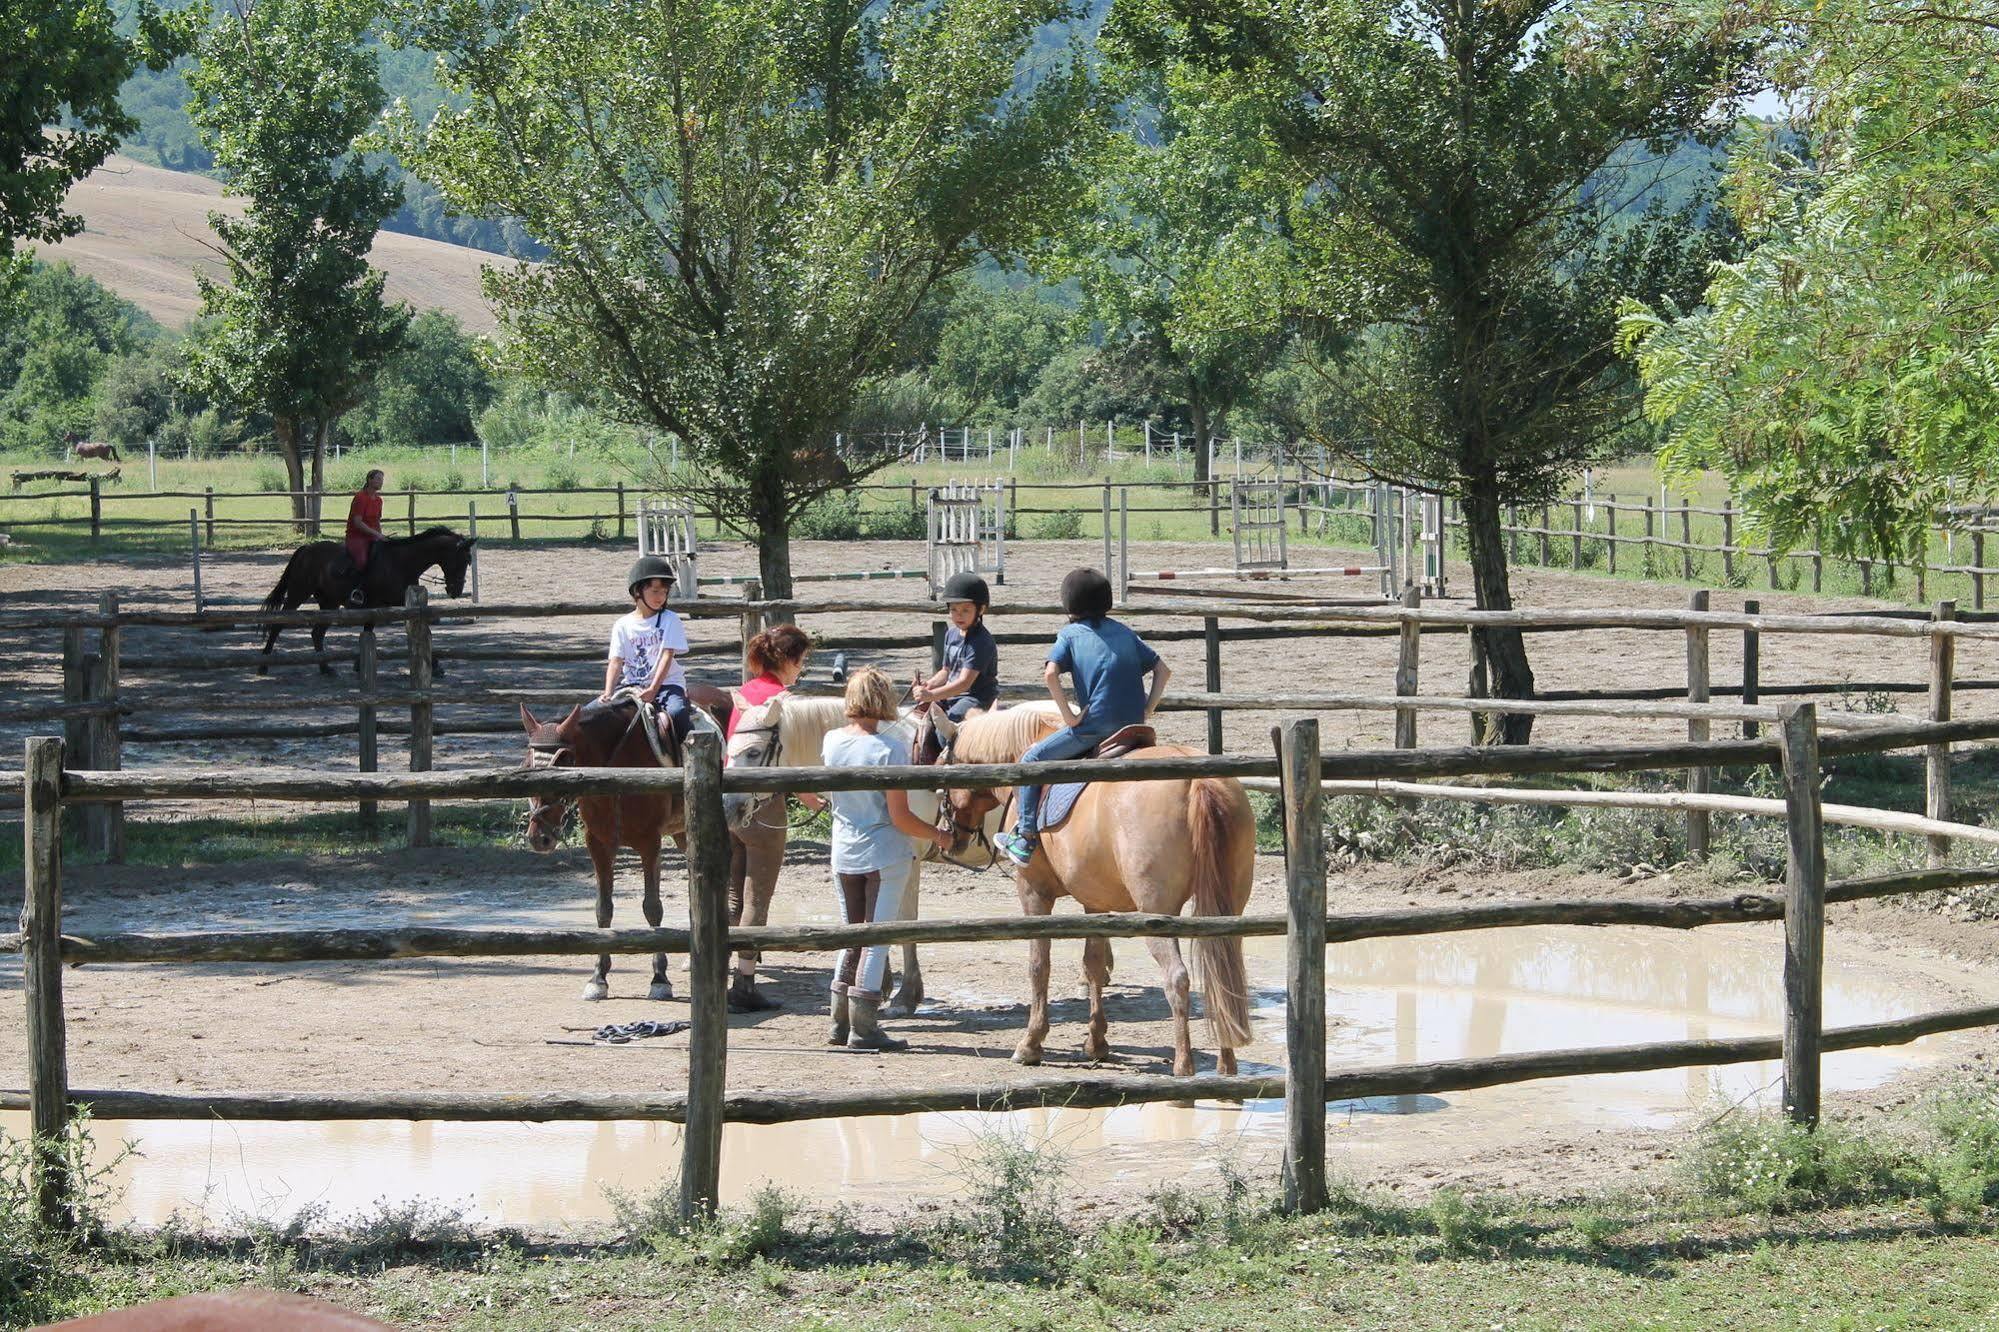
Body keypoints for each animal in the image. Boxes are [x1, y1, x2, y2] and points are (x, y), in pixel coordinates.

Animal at [259, 524, 477, 676]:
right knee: (278, 625)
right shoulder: (390, 603)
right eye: (465, 560)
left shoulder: (390, 604)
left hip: (329, 602)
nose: (456, 591)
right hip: (298, 593)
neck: (402, 563)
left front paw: (359, 664)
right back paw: (264, 665)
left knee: (317, 633)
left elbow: (370, 629)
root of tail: (305, 549)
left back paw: (326, 668)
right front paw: (437, 666)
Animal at [519, 696, 731, 996]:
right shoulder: (599, 844)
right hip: (684, 833)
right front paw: (598, 978)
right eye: (527, 763)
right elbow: (603, 908)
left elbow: (652, 908)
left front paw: (659, 978)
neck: (615, 768)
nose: (540, 837)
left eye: (565, 761)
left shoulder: (649, 841)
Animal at [719, 688, 935, 1012]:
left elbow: (903, 917)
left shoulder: (908, 858)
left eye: (753, 753)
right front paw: (884, 984)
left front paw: (906, 994)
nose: (728, 806)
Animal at [931, 704, 1247, 1072]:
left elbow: (1039, 965)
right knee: (1222, 974)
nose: (949, 837)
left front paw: (1031, 1042)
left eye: (940, 768)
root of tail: (1198, 780)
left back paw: (1184, 1066)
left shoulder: (1033, 893)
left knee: (1178, 978)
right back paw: (1226, 1065)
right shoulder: (1095, 902)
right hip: (1226, 910)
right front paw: (1096, 1042)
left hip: (1157, 914)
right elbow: (1094, 965)